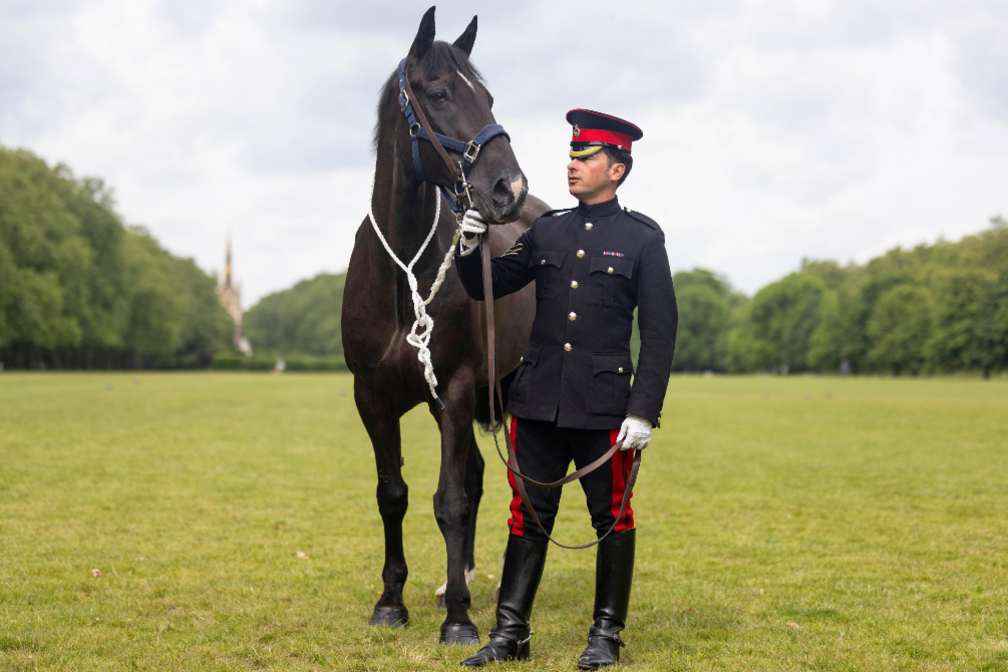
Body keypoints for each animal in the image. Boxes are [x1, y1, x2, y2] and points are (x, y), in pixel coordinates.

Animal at [344, 7, 552, 644]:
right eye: (438, 94)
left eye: (487, 97)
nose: (509, 188)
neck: (402, 273)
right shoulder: (373, 398)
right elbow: (393, 494)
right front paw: (392, 601)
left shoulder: (457, 390)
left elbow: (451, 500)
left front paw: (459, 619)